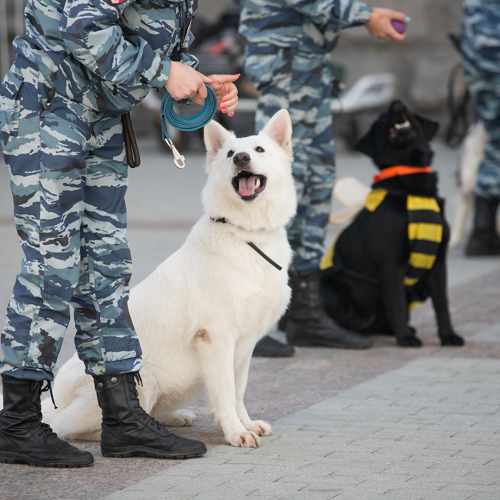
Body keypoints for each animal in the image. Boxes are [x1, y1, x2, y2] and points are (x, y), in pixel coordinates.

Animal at [42, 109, 296, 450]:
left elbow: (239, 391)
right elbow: (225, 393)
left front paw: (246, 424)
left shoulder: (245, 346)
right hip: (144, 380)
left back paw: (172, 419)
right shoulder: (217, 339)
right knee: (66, 426)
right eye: (230, 154)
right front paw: (235, 431)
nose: (242, 158)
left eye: (258, 150)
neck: (245, 233)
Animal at [320, 99, 464, 346]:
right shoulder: (392, 265)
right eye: (381, 119)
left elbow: (442, 304)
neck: (411, 186)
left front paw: (448, 336)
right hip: (334, 288)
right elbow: (396, 302)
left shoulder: (437, 264)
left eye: (408, 112)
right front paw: (405, 339)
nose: (396, 103)